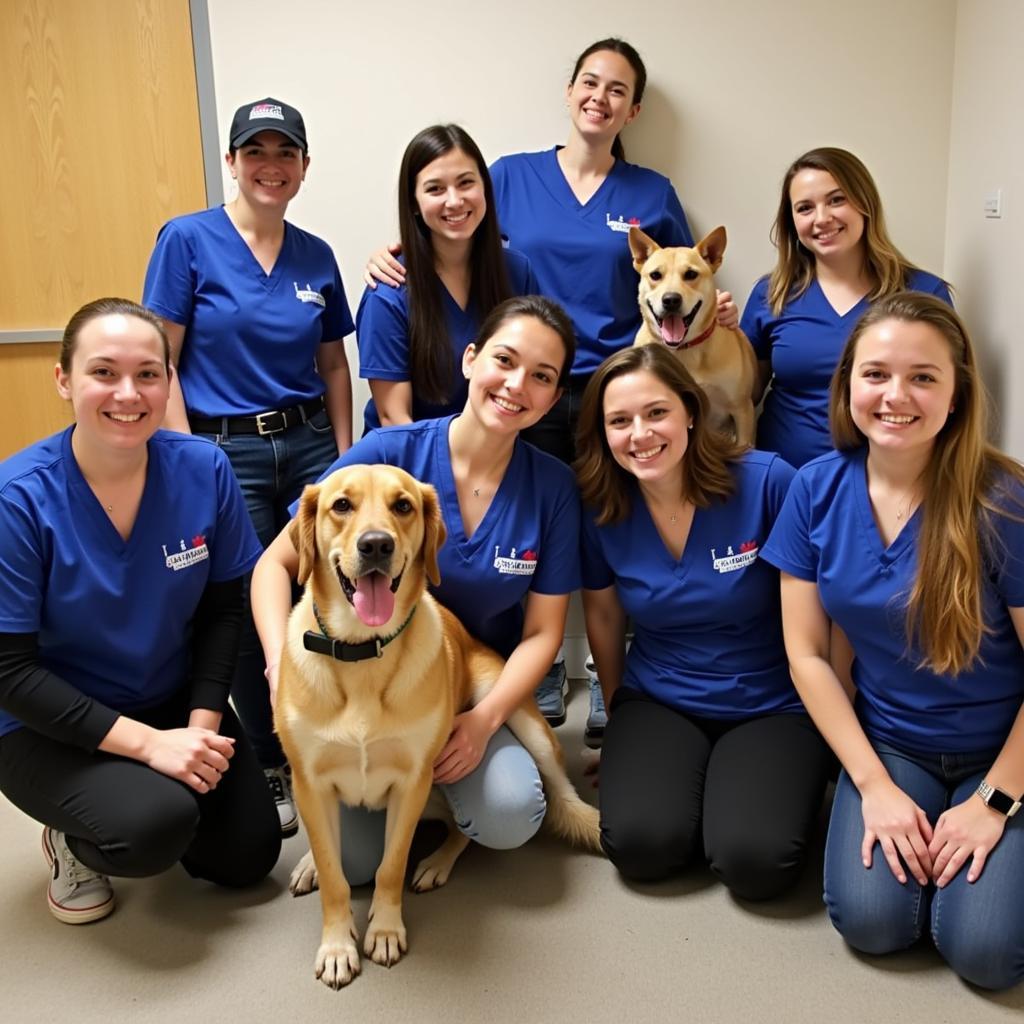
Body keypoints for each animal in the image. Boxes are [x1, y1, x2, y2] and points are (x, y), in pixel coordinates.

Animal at [276, 466, 602, 991]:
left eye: (403, 506)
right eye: (341, 505)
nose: (376, 545)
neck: (362, 654)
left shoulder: (412, 783)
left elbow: (390, 866)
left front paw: (386, 930)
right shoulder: (310, 782)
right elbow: (334, 873)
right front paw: (337, 943)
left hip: (512, 717)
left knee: (520, 807)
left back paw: (436, 862)